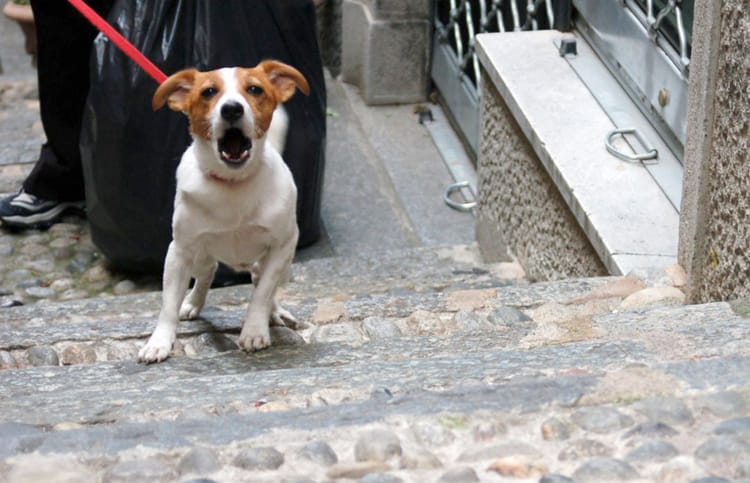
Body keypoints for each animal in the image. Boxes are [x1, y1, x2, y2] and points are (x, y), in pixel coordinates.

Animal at [137, 60, 308, 364]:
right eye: (208, 92)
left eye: (255, 89)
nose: (231, 109)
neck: (233, 183)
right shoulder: (179, 252)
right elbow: (168, 304)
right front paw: (159, 342)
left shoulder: (282, 247)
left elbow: (262, 294)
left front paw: (254, 330)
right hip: (199, 255)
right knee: (207, 272)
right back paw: (192, 303)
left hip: (282, 263)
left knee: (262, 282)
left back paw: (275, 312)